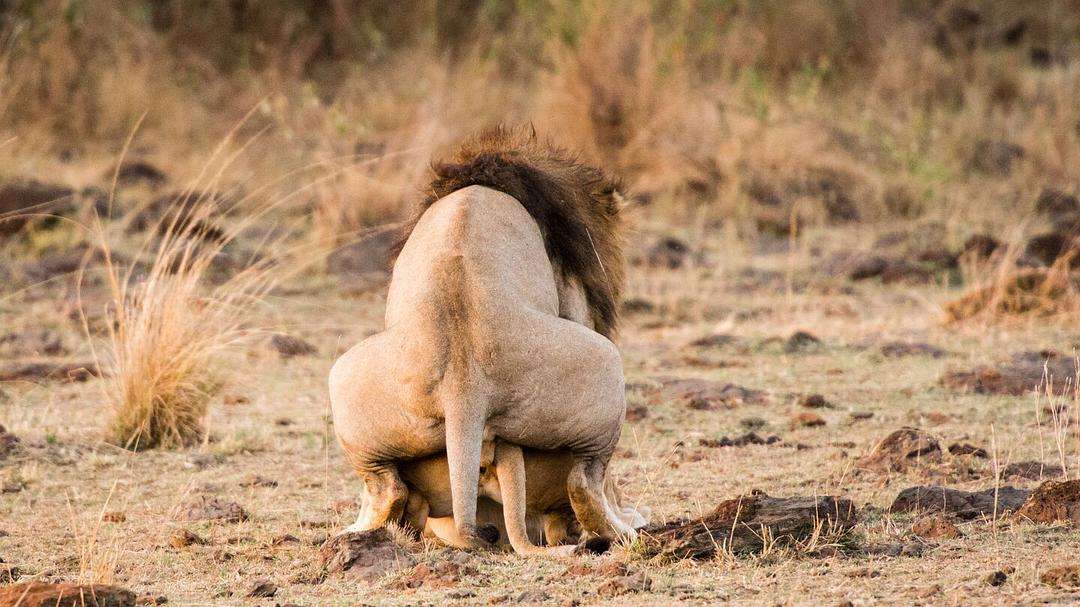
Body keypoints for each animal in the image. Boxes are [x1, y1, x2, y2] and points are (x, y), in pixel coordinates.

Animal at [328, 127, 639, 552]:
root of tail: (463, 387)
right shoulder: (575, 298)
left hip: (344, 382)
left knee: (387, 487)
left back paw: (354, 530)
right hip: (606, 365)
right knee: (584, 480)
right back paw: (626, 528)